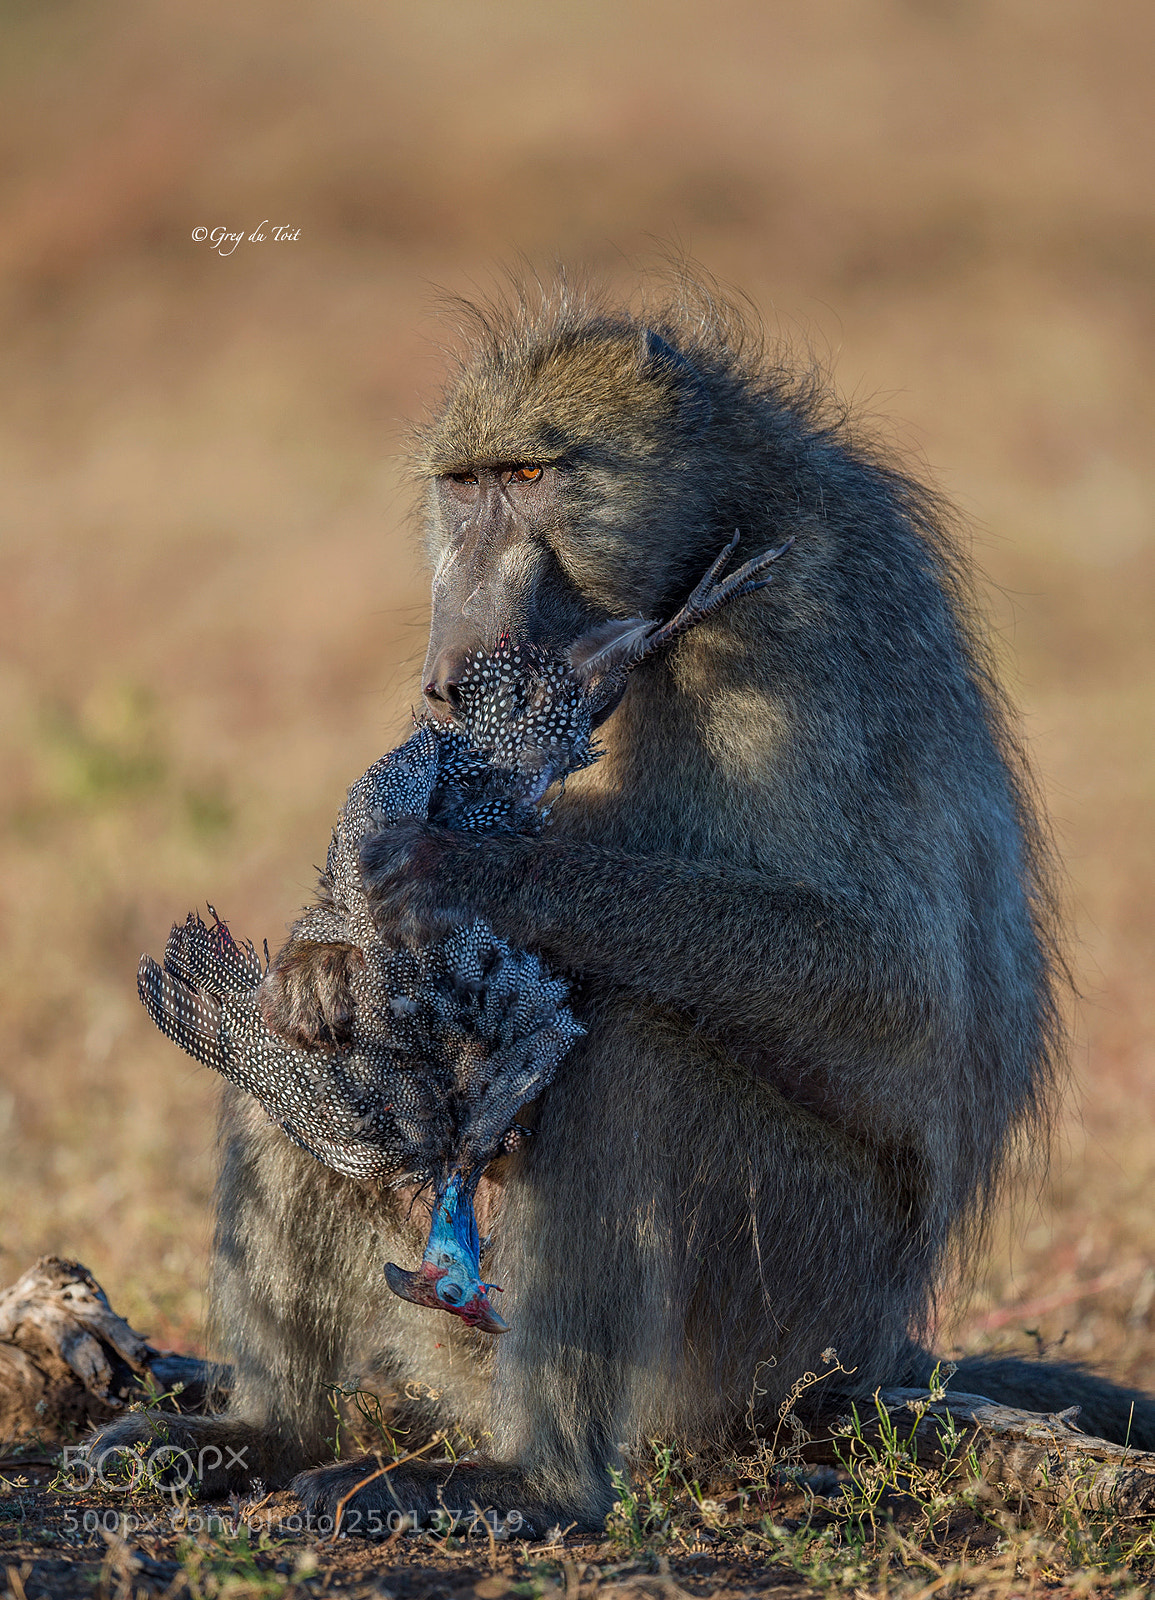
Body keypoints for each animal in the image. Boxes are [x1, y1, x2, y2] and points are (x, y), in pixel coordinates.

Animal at [92, 279, 1155, 1533]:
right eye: (465, 486)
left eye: (531, 477)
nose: (452, 666)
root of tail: (875, 1349)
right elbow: (327, 999)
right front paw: (330, 947)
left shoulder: (805, 628)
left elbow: (888, 979)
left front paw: (454, 871)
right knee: (299, 1051)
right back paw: (267, 1431)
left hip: (781, 1307)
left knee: (638, 1058)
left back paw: (541, 1479)